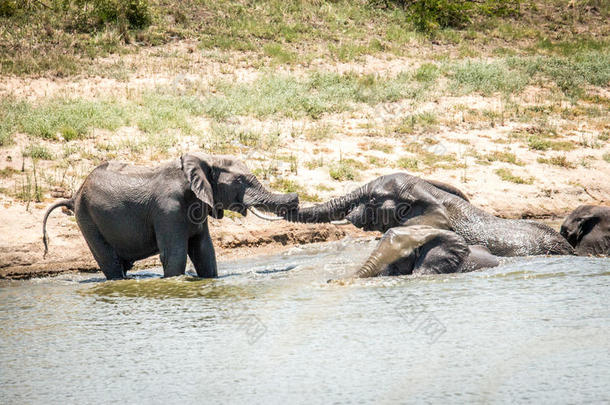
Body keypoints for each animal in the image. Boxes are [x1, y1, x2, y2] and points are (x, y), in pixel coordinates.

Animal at [43, 153, 296, 280]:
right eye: (241, 181)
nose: (296, 199)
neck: (205, 161)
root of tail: (74, 196)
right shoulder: (168, 210)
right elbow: (175, 254)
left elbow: (204, 251)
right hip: (88, 219)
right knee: (110, 262)